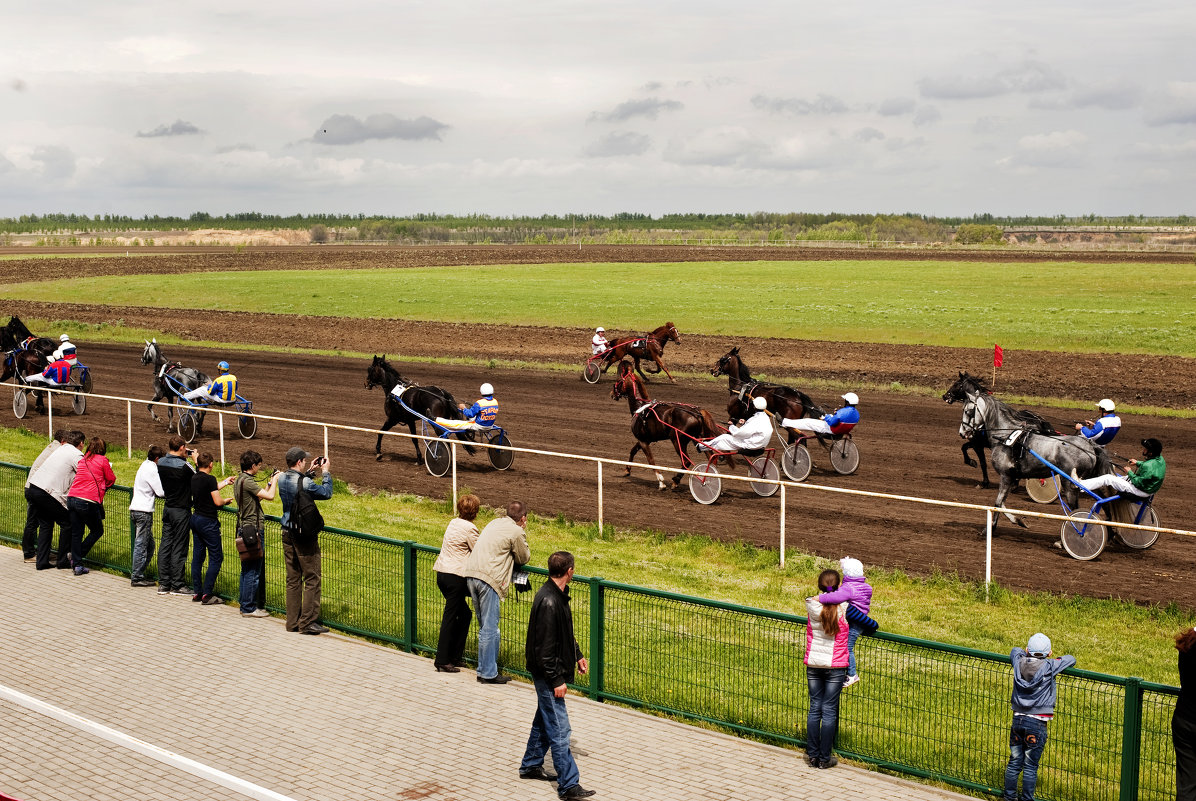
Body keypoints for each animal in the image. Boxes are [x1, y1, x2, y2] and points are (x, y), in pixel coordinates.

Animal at [942, 375, 1109, 526]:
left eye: (957, 384)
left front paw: (978, 472)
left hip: (1070, 482)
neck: (1005, 433)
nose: (945, 396)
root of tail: (1090, 447)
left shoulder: (978, 444)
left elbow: (976, 459)